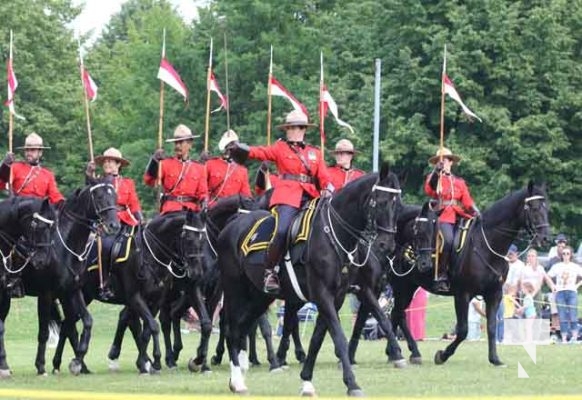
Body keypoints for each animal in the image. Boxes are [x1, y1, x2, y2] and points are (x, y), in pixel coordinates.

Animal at [21, 178, 120, 376]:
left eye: (114, 195)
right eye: (99, 196)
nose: (114, 225)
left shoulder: (71, 291)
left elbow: (86, 322)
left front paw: (77, 360)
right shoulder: (46, 294)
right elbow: (44, 332)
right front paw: (41, 365)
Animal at [219, 164, 402, 396]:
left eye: (397, 205)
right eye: (380, 201)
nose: (387, 244)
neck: (335, 236)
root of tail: (230, 227)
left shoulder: (338, 297)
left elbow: (317, 339)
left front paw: (306, 381)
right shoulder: (324, 295)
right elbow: (338, 336)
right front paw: (352, 383)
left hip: (259, 296)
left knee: (243, 328)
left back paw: (239, 376)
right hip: (235, 291)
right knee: (232, 329)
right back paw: (238, 380)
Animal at [390, 183, 548, 368]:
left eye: (546, 208)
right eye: (534, 208)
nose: (545, 238)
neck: (487, 245)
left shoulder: (494, 294)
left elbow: (492, 326)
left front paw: (495, 359)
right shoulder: (462, 295)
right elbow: (463, 330)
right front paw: (442, 355)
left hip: (409, 286)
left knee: (397, 314)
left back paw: (399, 353)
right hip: (400, 284)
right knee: (398, 314)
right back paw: (403, 353)